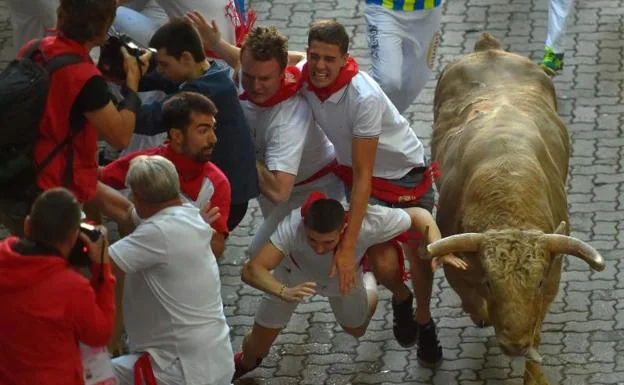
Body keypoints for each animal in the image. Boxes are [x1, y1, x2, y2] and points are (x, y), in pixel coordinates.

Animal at [428, 33, 604, 384]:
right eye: (489, 283)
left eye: (536, 283)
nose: (514, 344)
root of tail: (489, 49)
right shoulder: (458, 271)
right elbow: (472, 301)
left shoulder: (551, 278)